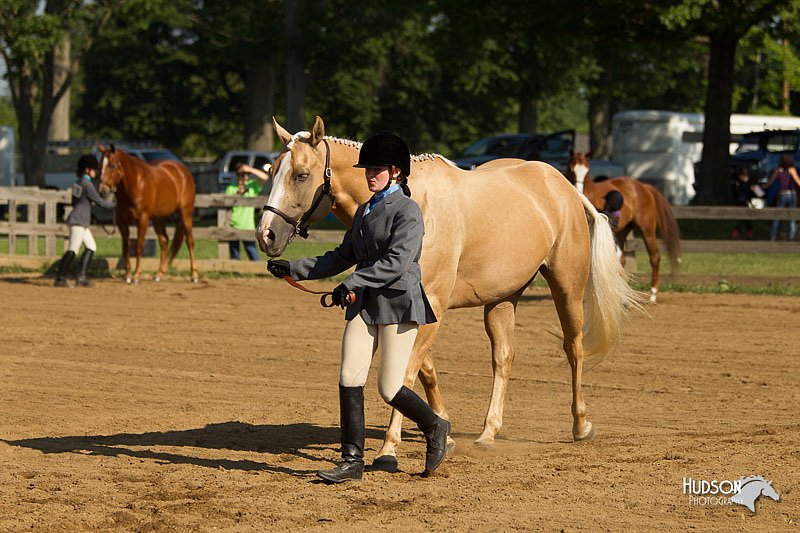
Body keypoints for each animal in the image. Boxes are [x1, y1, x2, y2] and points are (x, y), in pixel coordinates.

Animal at [97, 141, 198, 282]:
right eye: (100, 165)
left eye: (112, 165)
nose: (102, 190)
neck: (136, 184)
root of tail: (183, 171)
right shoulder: (122, 223)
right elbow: (126, 248)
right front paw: (127, 275)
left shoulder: (143, 219)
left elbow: (138, 247)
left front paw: (136, 276)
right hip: (158, 218)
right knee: (164, 240)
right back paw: (159, 274)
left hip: (185, 214)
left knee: (189, 241)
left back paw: (194, 275)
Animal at [256, 116, 644, 466]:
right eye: (272, 171)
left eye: (301, 174)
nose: (265, 235)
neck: (413, 203)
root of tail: (562, 185)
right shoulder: (415, 308)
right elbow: (423, 370)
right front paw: (444, 429)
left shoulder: (431, 306)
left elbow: (406, 373)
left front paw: (389, 448)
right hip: (502, 299)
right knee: (503, 357)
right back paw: (488, 433)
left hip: (567, 285)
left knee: (574, 349)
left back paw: (581, 426)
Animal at [564, 154, 680, 304]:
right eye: (571, 168)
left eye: (587, 170)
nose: (578, 189)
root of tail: (644, 186)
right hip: (622, 231)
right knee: (622, 260)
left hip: (647, 230)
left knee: (654, 257)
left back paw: (652, 294)